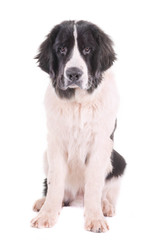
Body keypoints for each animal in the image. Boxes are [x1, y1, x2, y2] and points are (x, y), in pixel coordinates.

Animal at [31, 20, 126, 232]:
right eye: (62, 49)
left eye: (87, 50)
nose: (74, 74)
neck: (78, 103)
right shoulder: (55, 143)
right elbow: (55, 182)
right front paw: (47, 214)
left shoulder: (101, 144)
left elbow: (94, 185)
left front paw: (96, 219)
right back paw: (43, 203)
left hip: (118, 160)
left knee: (104, 191)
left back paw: (105, 206)